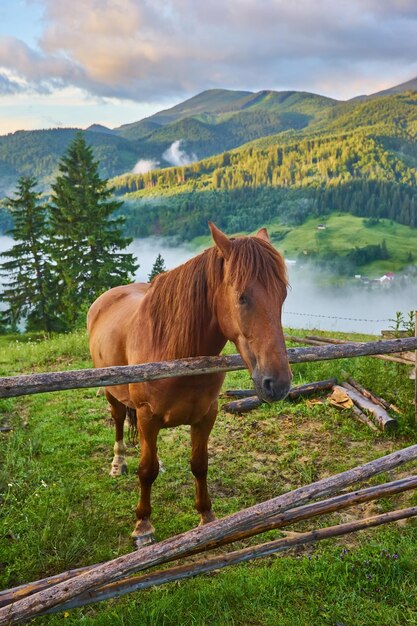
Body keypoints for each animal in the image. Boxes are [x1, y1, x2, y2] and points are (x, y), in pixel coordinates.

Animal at [86, 222, 290, 544]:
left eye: (282, 296)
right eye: (242, 297)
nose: (278, 384)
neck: (176, 352)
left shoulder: (206, 416)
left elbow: (199, 465)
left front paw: (206, 516)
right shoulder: (147, 416)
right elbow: (146, 470)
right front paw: (143, 525)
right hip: (111, 392)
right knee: (118, 420)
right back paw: (118, 463)